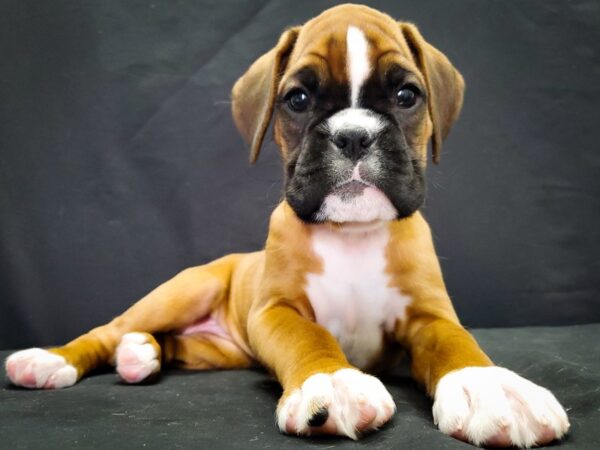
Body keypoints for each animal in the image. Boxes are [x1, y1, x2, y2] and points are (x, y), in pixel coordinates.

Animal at [5, 3, 568, 446]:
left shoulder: (429, 316)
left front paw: (490, 386)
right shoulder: (277, 311)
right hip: (179, 292)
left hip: (213, 349)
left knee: (167, 343)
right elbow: (309, 337)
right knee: (107, 330)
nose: (353, 135)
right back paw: (54, 361)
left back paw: (141, 355)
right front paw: (333, 381)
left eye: (407, 96)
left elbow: (456, 343)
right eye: (297, 100)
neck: (352, 236)